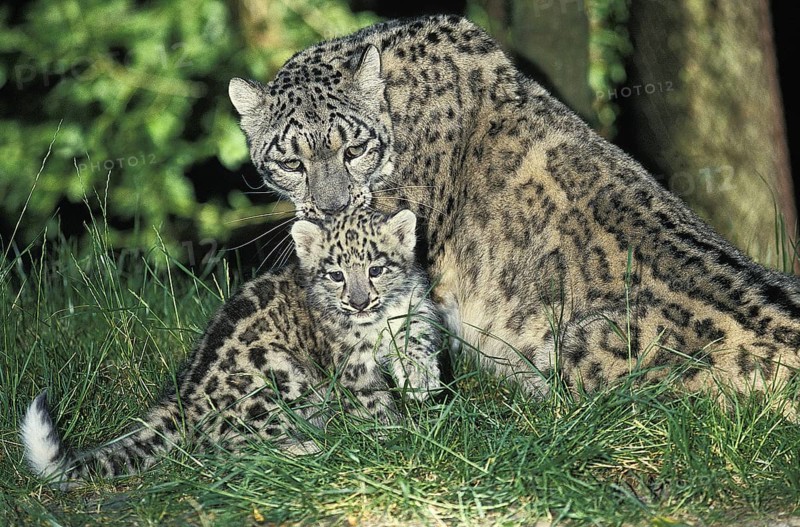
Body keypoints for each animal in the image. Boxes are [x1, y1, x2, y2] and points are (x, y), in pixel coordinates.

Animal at [21, 208, 442, 487]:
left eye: (376, 269)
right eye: (335, 274)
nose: (358, 303)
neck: (380, 318)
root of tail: (183, 402)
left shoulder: (415, 310)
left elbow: (417, 338)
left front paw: (422, 382)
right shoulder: (350, 362)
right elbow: (373, 401)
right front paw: (398, 433)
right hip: (277, 378)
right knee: (229, 450)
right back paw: (310, 446)